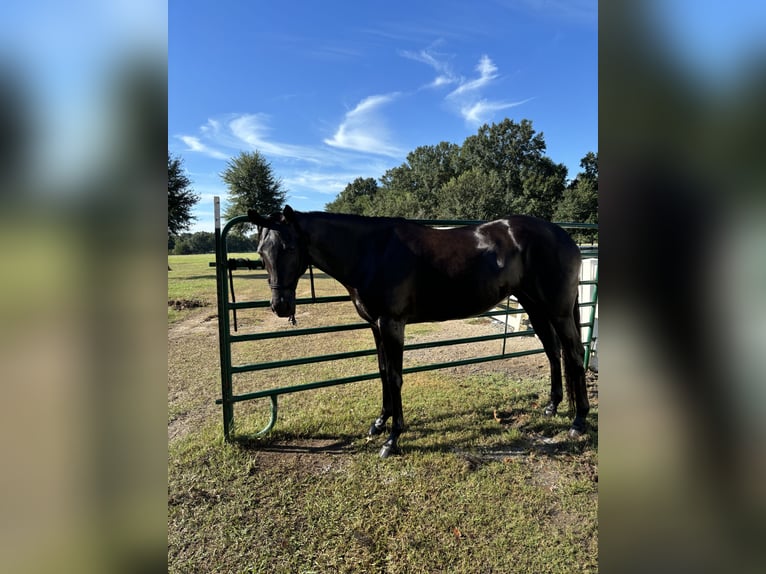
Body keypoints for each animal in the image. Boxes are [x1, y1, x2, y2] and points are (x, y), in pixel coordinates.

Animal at [249, 207, 592, 460]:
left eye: (289, 248)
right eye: (261, 252)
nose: (280, 306)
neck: (371, 252)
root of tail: (565, 237)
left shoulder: (391, 324)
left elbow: (395, 377)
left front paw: (392, 439)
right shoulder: (375, 325)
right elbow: (382, 372)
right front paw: (379, 423)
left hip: (558, 311)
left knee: (574, 354)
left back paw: (579, 422)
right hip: (534, 306)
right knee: (553, 352)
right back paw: (552, 407)